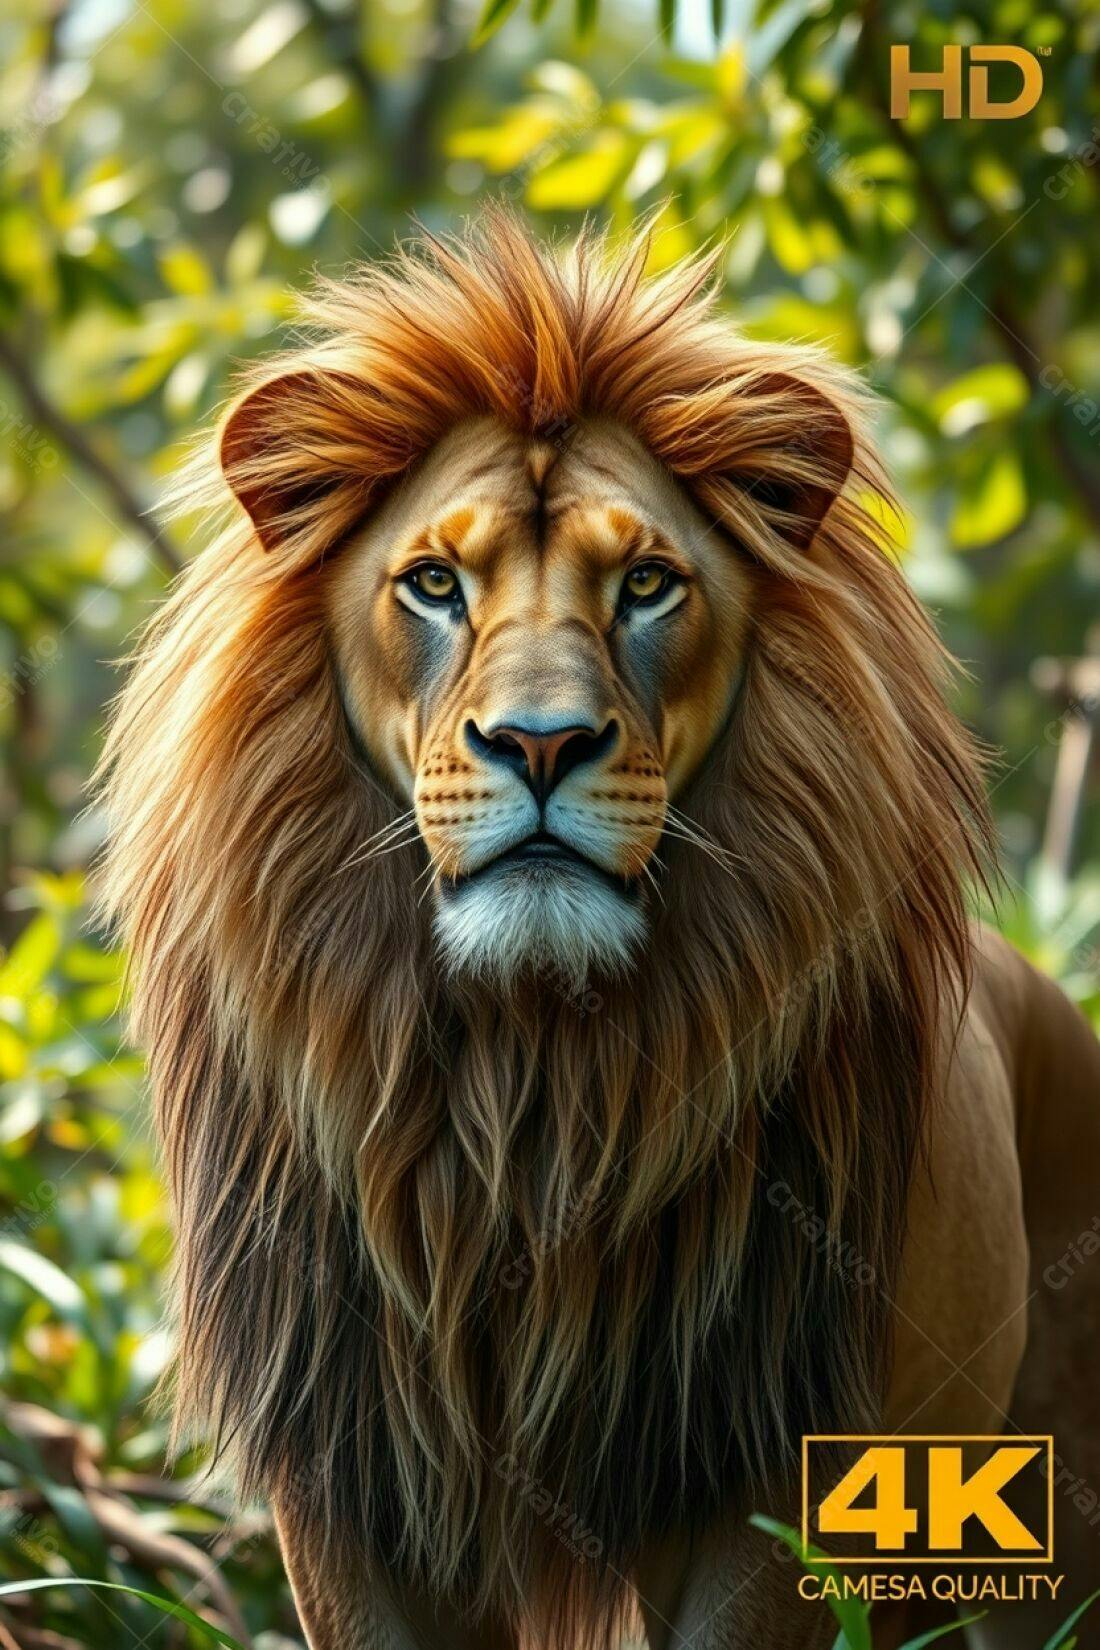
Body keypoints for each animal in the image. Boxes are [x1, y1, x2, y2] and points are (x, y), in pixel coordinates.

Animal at [97, 213, 1100, 1650]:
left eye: (645, 584)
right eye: (433, 583)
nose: (539, 742)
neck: (530, 1079)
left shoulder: (761, 1458)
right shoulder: (353, 1462)